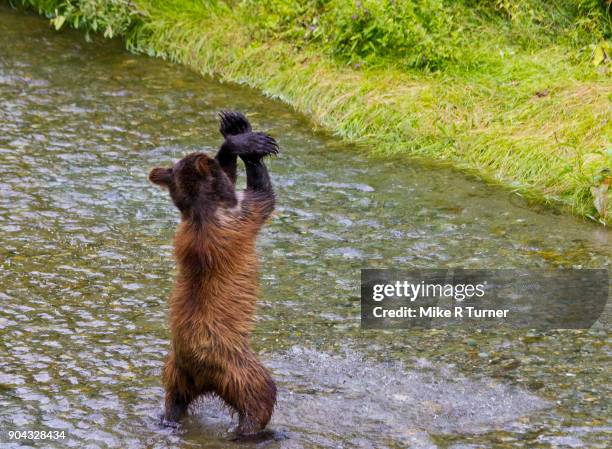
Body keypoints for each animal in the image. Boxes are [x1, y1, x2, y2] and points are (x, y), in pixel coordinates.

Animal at [149, 110, 278, 436]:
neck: (200, 213)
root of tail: (201, 374)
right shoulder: (240, 216)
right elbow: (262, 195)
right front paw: (246, 140)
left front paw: (233, 127)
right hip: (237, 365)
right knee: (260, 395)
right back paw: (252, 431)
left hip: (175, 371)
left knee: (174, 398)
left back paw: (169, 418)